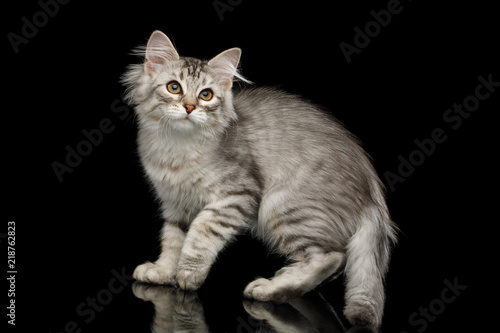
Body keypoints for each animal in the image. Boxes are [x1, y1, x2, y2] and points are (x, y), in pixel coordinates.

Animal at [122, 30, 398, 330]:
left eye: (206, 95)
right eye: (174, 88)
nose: (189, 107)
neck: (177, 148)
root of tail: (372, 189)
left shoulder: (235, 194)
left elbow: (200, 234)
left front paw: (189, 274)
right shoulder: (175, 203)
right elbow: (173, 239)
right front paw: (163, 270)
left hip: (281, 206)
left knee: (332, 256)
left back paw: (272, 289)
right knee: (337, 259)